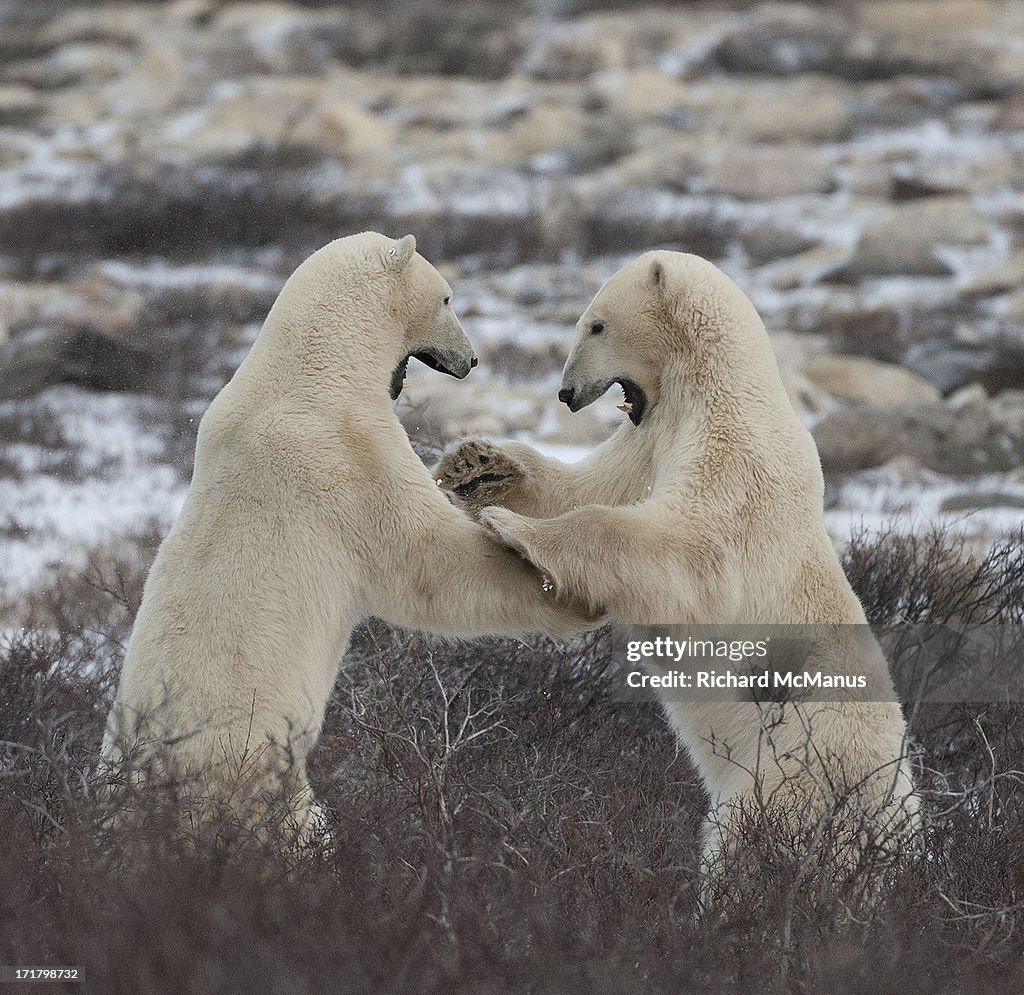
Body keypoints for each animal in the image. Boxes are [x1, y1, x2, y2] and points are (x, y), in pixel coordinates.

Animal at [99, 233, 598, 839]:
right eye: (447, 299)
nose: (472, 358)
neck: (312, 372)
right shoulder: (349, 457)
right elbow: (426, 561)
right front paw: (566, 593)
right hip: (253, 766)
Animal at [438, 250, 921, 892]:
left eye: (595, 325)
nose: (565, 393)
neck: (719, 388)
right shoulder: (653, 434)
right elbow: (589, 486)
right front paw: (474, 466)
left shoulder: (737, 462)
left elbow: (680, 552)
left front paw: (513, 529)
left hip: (797, 757)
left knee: (749, 836)